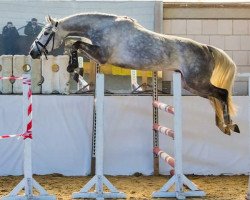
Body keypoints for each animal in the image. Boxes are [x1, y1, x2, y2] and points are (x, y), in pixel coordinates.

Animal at [29, 12, 240, 134]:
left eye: (46, 33)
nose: (33, 52)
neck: (102, 26)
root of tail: (206, 48)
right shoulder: (97, 55)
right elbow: (73, 45)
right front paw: (73, 69)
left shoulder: (102, 56)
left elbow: (75, 43)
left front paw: (72, 67)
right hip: (192, 85)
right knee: (215, 98)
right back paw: (222, 125)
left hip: (196, 82)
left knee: (222, 94)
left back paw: (230, 125)